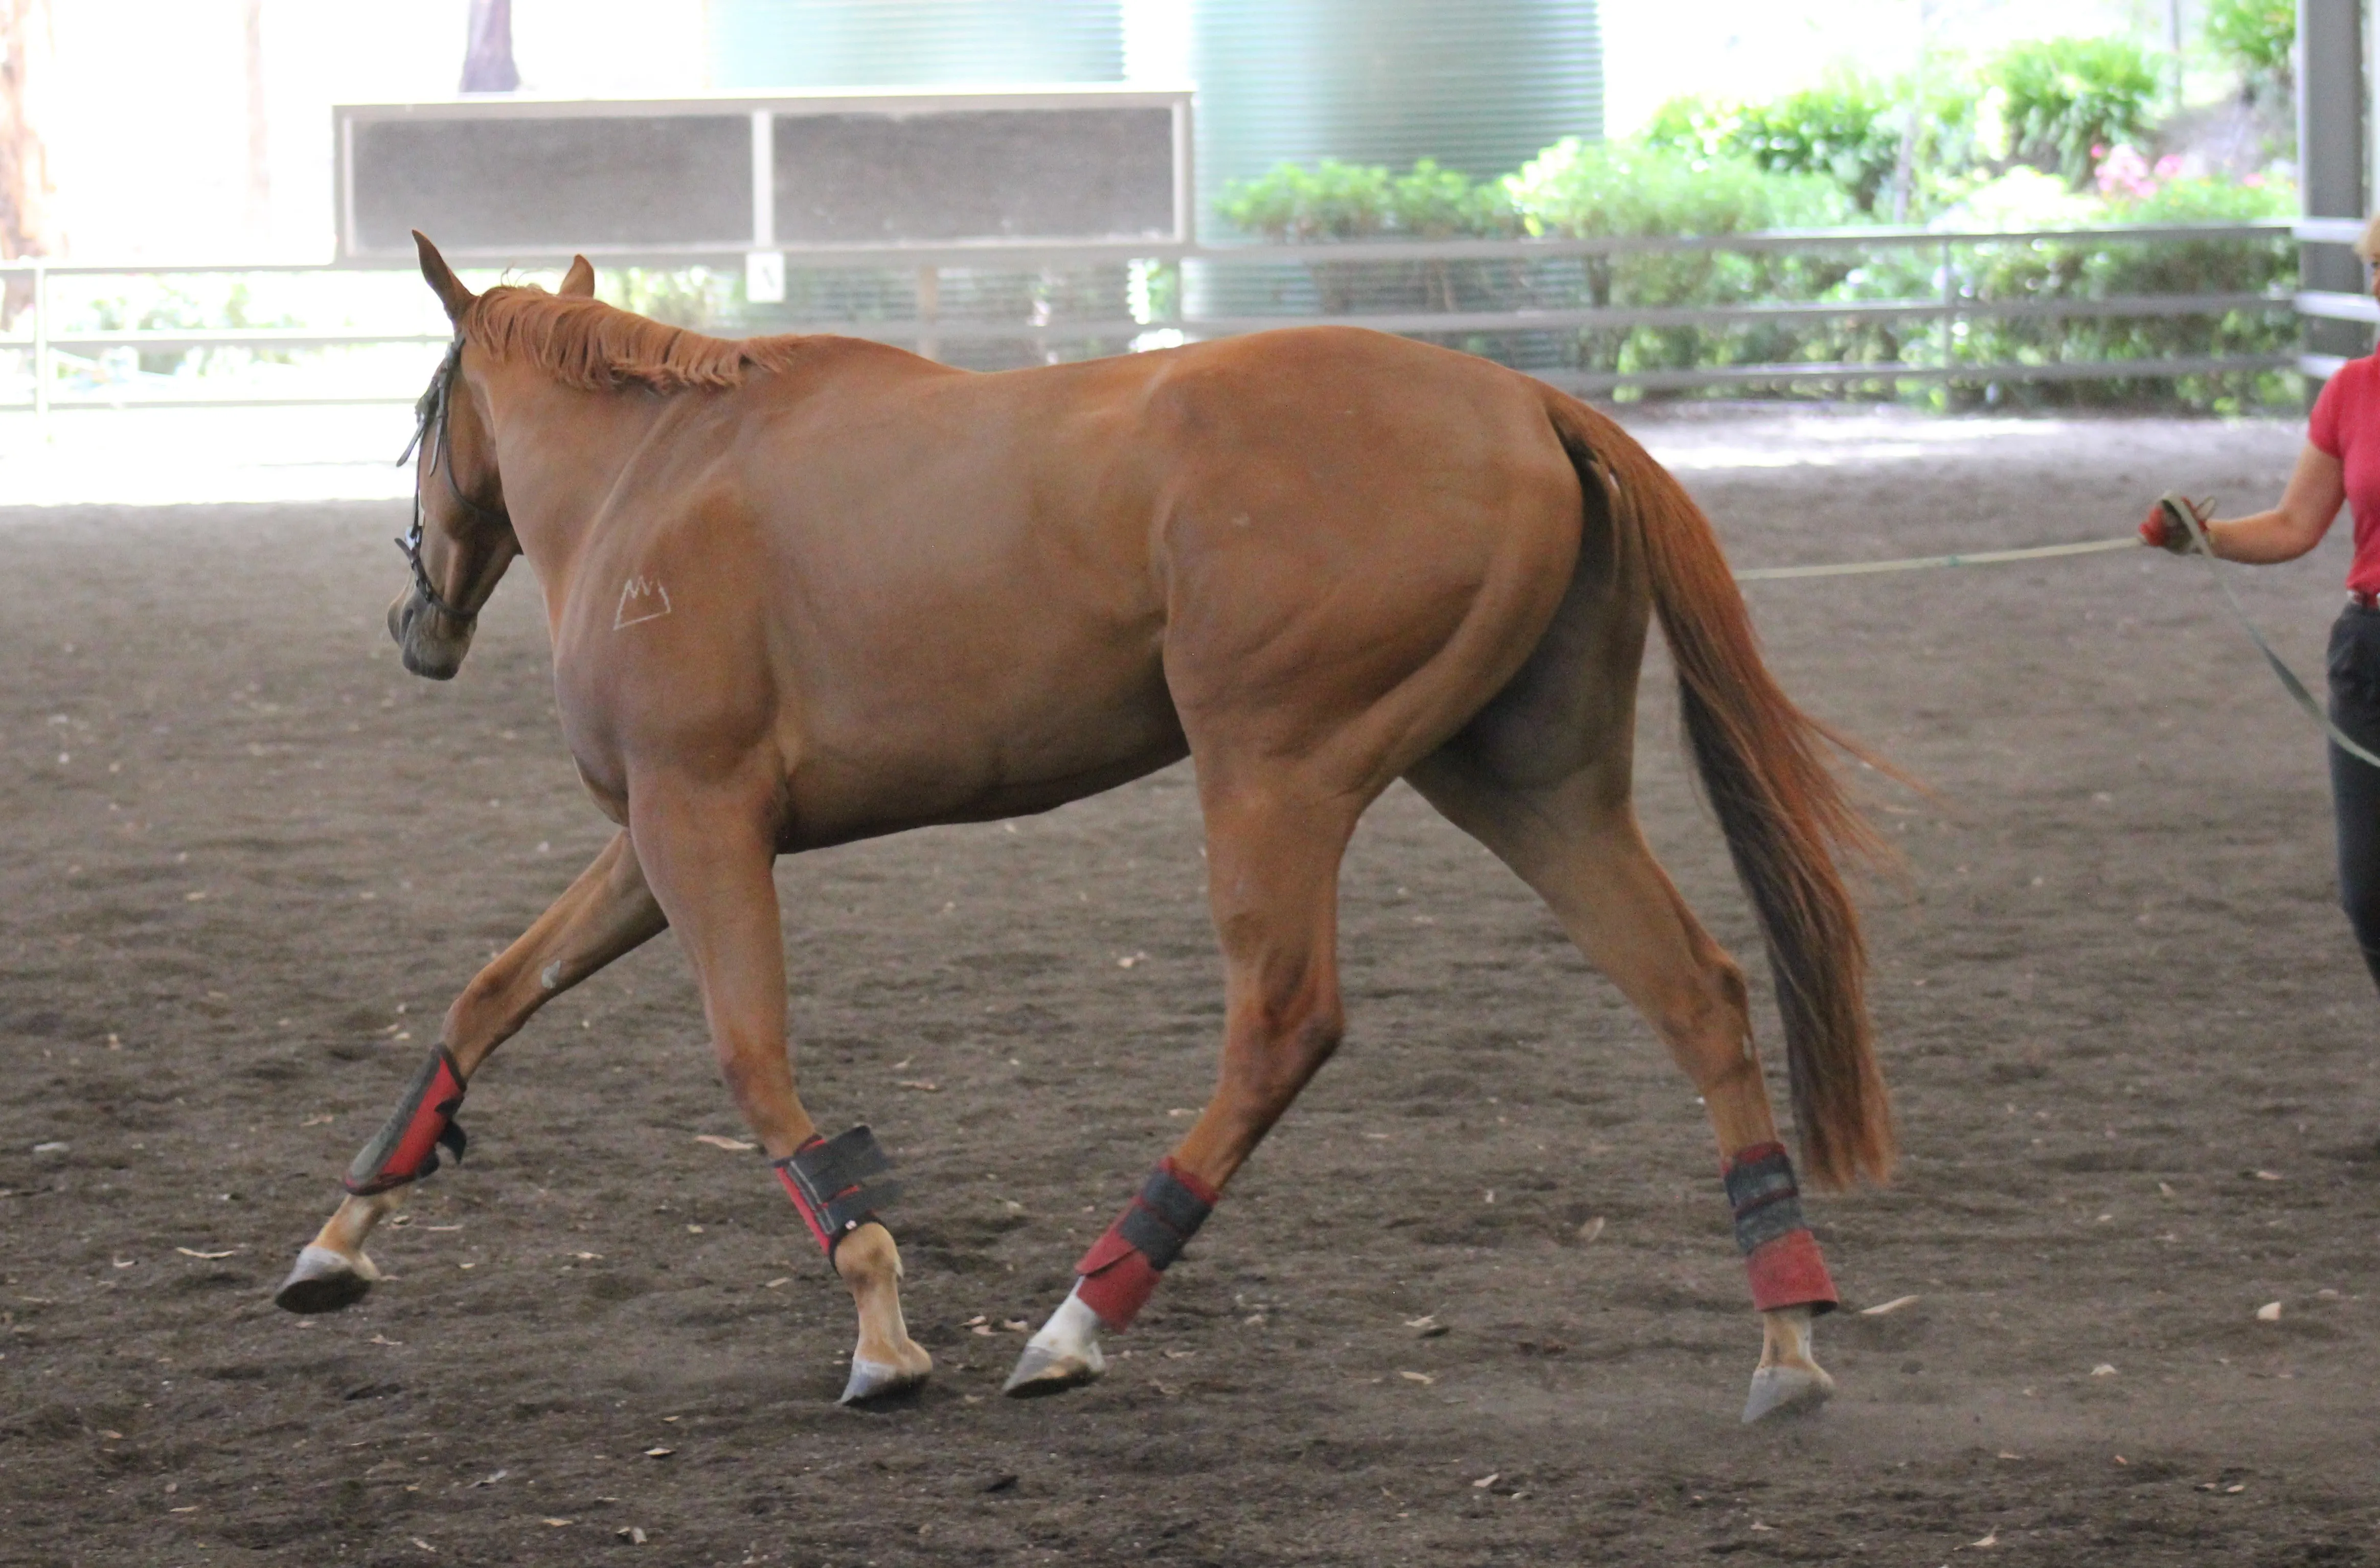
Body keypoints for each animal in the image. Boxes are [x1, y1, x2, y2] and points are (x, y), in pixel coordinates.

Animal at [270, 233, 1885, 1427]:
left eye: (418, 422)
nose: (418, 625)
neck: (656, 478)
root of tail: (1527, 406)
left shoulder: (699, 820)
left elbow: (748, 1061)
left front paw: (879, 1319)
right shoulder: (655, 844)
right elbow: (491, 995)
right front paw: (338, 1236)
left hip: (1275, 772)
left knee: (1281, 1026)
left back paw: (1075, 1319)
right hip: (1524, 786)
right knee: (1695, 992)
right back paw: (1788, 1338)